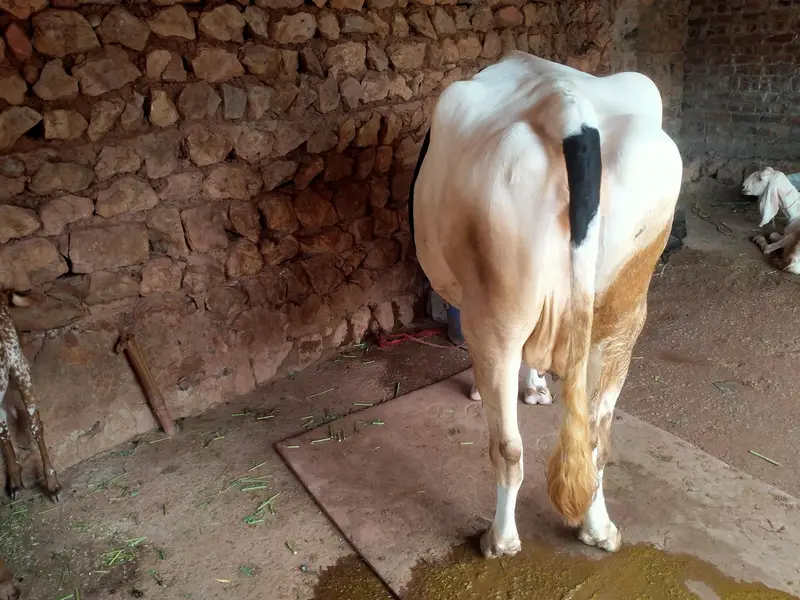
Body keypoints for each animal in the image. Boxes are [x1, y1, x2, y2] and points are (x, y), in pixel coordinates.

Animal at [409, 51, 682, 557]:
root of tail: (569, 110)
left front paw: (496, 388)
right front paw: (537, 386)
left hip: (496, 314)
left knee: (508, 446)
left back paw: (499, 541)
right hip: (625, 315)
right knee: (595, 439)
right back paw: (599, 530)